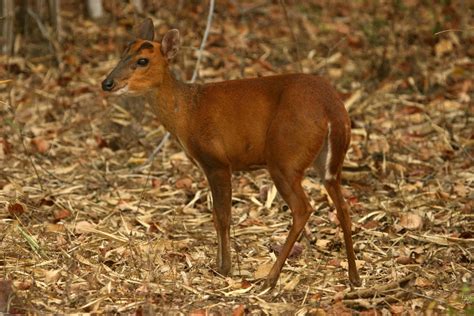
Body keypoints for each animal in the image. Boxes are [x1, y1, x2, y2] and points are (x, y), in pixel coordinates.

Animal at [102, 17, 362, 288]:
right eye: (123, 52)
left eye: (142, 60)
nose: (107, 83)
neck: (186, 112)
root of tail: (333, 109)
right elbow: (217, 216)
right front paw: (219, 264)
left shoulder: (216, 161)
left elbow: (223, 216)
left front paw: (224, 267)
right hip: (329, 162)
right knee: (343, 207)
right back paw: (354, 276)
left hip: (285, 158)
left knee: (303, 208)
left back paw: (271, 278)